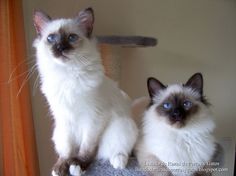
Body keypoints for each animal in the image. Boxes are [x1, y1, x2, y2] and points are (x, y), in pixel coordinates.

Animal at [32, 7, 137, 176]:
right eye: (51, 38)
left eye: (71, 37)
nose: (60, 48)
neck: (67, 75)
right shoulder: (65, 119)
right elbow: (68, 151)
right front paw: (63, 166)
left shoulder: (93, 118)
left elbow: (86, 149)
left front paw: (77, 165)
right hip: (58, 132)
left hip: (122, 125)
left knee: (117, 151)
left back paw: (118, 162)